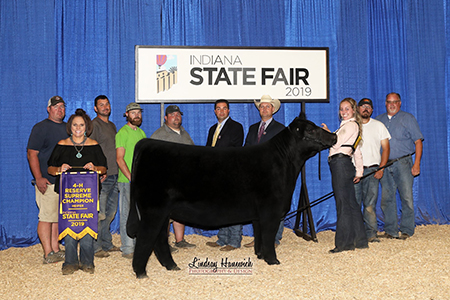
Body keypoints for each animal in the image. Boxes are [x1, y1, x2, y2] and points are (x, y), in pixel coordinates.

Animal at [125, 113, 334, 278]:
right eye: (312, 129)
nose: (333, 135)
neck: (285, 162)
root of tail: (146, 143)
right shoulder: (271, 210)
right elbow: (268, 235)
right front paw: (273, 260)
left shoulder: (259, 214)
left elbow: (259, 235)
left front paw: (260, 256)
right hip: (153, 210)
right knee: (146, 238)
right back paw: (141, 272)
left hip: (162, 211)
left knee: (159, 239)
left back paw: (171, 266)